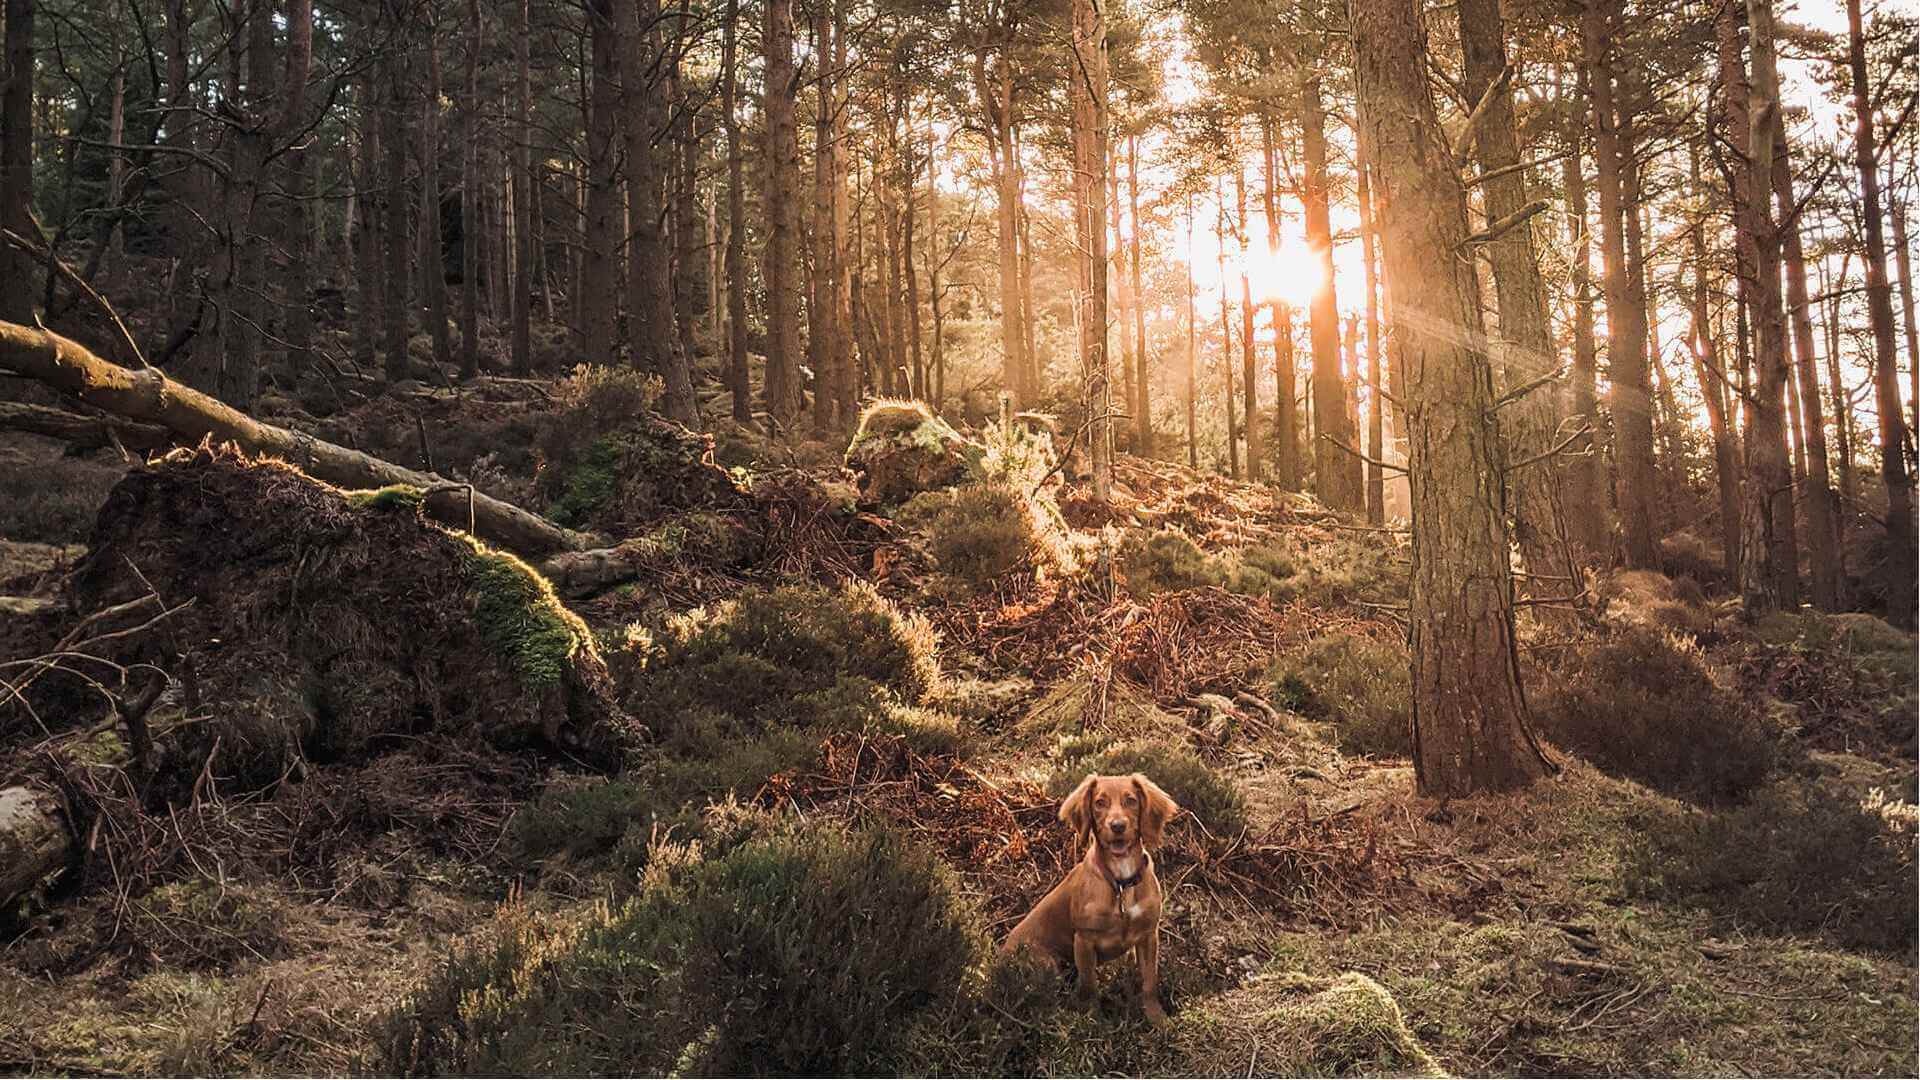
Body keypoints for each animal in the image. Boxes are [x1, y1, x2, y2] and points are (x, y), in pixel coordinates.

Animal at [998, 764, 1175, 1014]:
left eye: (1131, 800)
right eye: (1099, 803)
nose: (1117, 826)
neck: (1120, 882)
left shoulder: (1148, 935)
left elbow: (1150, 982)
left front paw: (1156, 1018)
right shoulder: (1084, 940)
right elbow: (1089, 985)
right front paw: (1089, 1017)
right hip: (1047, 962)